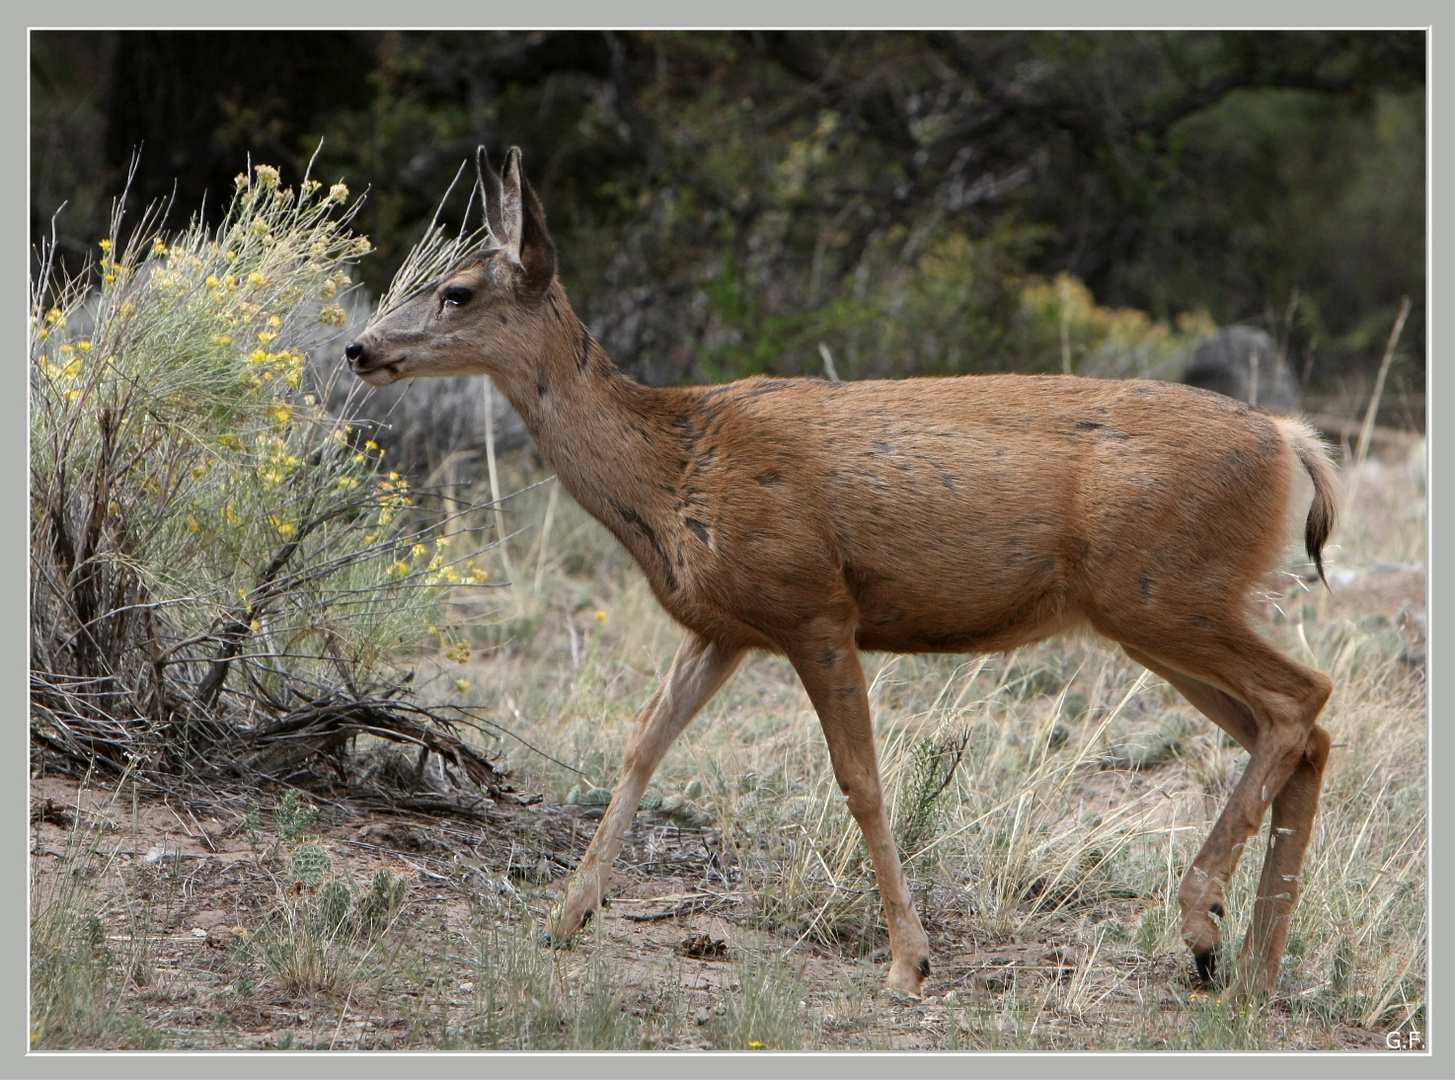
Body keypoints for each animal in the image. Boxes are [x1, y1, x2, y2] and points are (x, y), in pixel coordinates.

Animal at [349, 146, 1338, 995]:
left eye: (456, 290)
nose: (360, 348)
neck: (671, 464)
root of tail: (1287, 439)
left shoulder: (813, 605)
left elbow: (860, 780)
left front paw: (909, 961)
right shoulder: (722, 627)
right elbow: (640, 749)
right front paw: (562, 919)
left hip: (1164, 591)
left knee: (1301, 697)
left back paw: (1203, 923)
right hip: (1157, 612)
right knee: (1296, 730)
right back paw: (1254, 970)